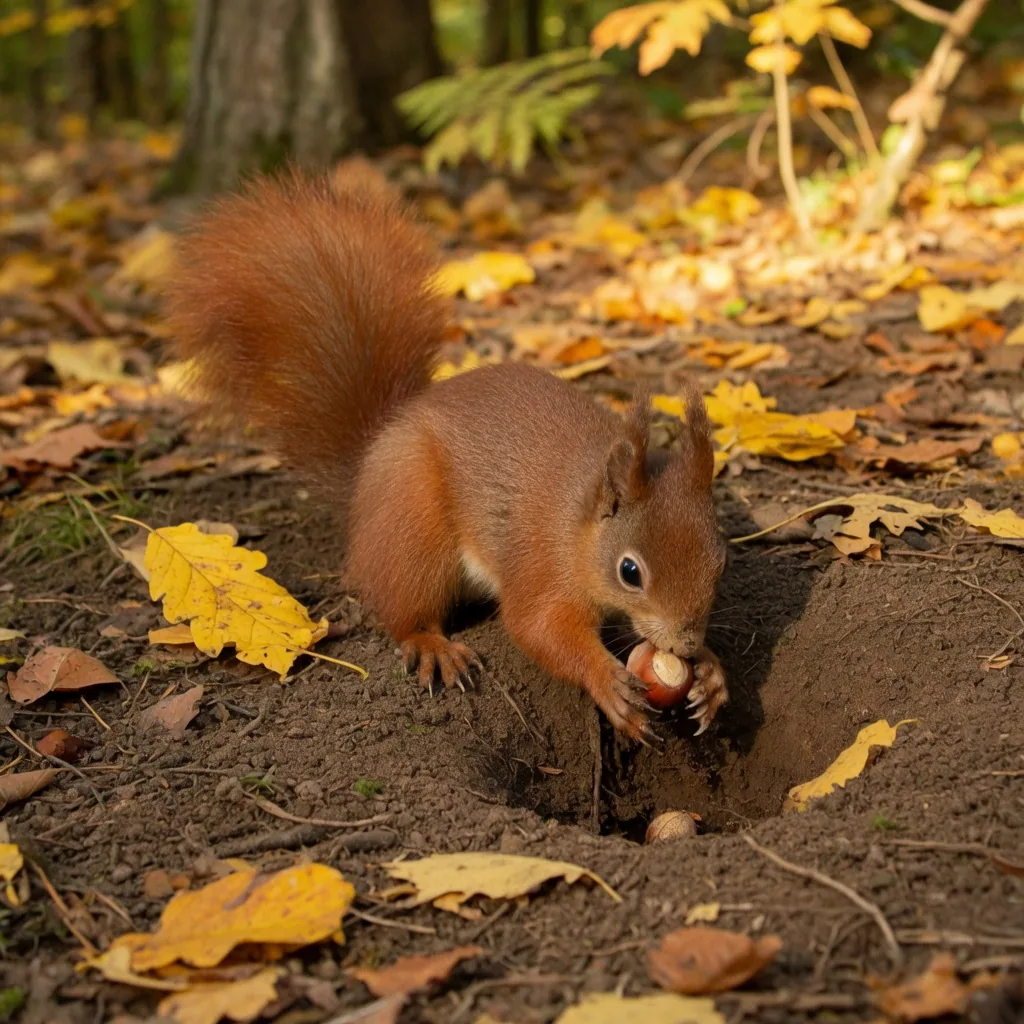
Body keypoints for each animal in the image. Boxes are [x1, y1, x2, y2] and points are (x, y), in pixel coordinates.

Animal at [164, 168, 729, 744]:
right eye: (629, 572)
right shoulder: (540, 563)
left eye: (721, 557)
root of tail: (369, 465)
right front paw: (606, 681)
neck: (579, 521)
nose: (684, 644)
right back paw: (432, 646)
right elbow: (538, 627)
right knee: (404, 610)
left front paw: (711, 674)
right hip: (415, 528)